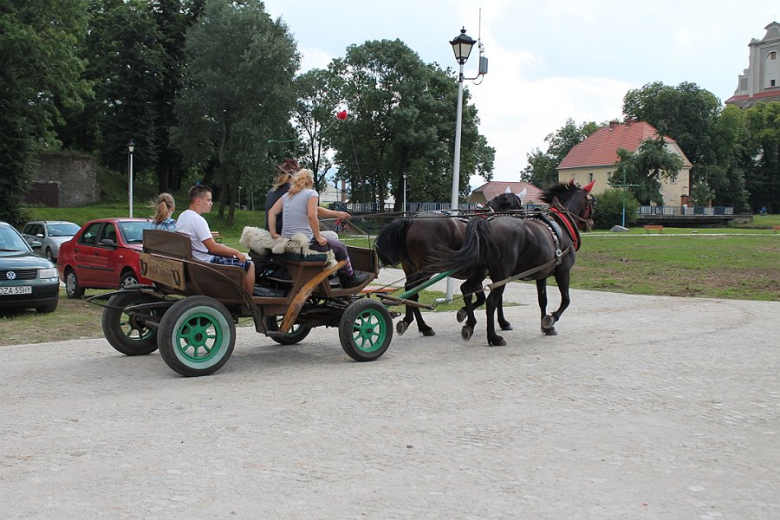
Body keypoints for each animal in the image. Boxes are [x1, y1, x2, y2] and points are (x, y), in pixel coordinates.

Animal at [374, 193, 524, 336]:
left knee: (412, 293)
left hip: (410, 269)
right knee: (410, 288)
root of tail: (412, 220)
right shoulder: (489, 273)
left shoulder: (480, 274)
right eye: (519, 205)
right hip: (427, 269)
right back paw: (415, 323)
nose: (524, 218)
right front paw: (499, 322)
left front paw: (466, 314)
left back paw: (421, 326)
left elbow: (482, 298)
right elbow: (491, 298)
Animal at [430, 181, 596, 348]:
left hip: (481, 271)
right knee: (490, 301)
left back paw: (468, 326)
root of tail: (486, 226)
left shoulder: (541, 274)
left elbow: (542, 300)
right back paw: (493, 337)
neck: (559, 226)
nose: (591, 224)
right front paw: (551, 318)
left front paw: (546, 327)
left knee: (467, 290)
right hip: (499, 272)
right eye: (593, 202)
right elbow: (566, 300)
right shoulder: (563, 271)